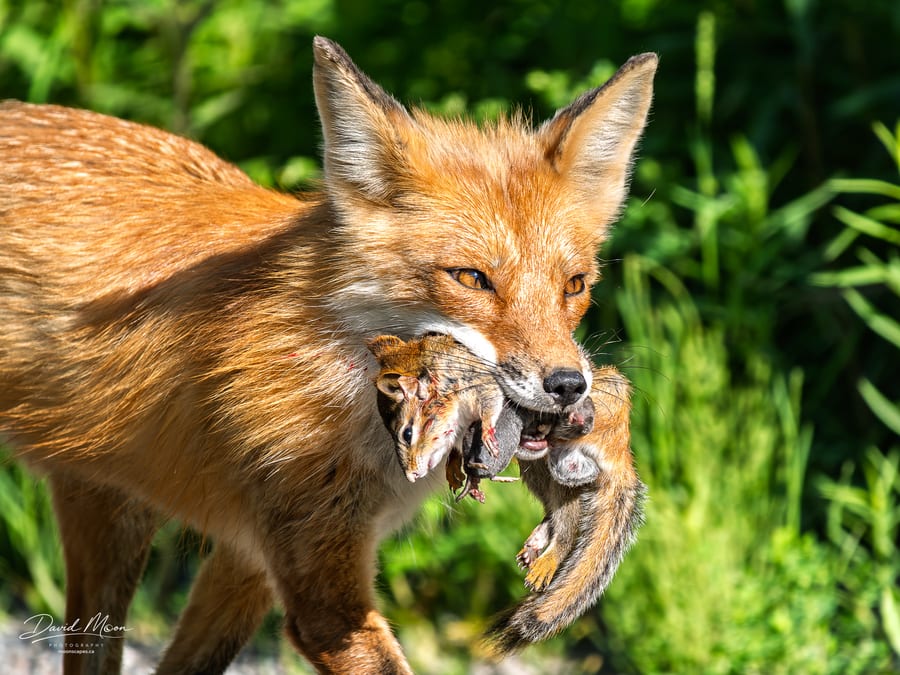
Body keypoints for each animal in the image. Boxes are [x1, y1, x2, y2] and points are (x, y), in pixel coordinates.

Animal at [0, 35, 656, 675]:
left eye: (575, 285)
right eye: (471, 278)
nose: (570, 387)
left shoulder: (252, 559)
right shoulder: (318, 584)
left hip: (109, 509)